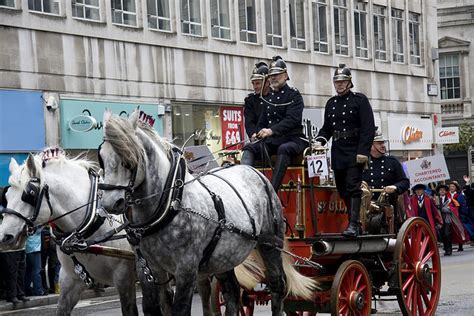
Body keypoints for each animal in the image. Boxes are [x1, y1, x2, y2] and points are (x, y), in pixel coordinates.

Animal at [97, 110, 316, 314]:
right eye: (101, 158)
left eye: (129, 160)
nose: (110, 203)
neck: (170, 203)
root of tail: (257, 173)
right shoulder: (147, 268)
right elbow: (152, 307)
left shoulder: (186, 269)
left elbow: (180, 309)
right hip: (225, 256)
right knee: (232, 292)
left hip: (270, 244)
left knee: (278, 286)